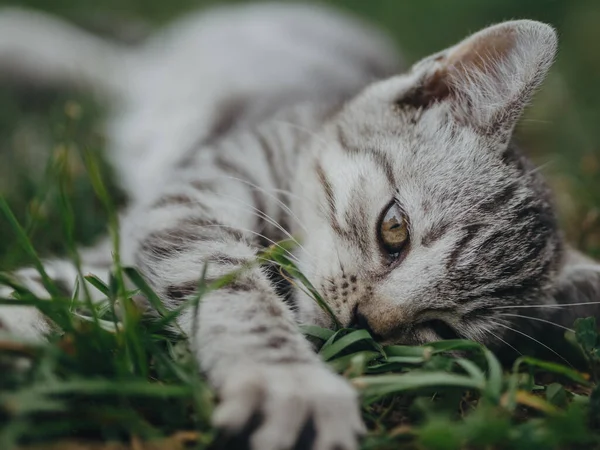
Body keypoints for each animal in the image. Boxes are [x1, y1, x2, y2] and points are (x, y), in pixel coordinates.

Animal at [1, 3, 600, 450]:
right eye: (395, 230)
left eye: (441, 330)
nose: (366, 323)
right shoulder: (198, 193)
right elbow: (237, 292)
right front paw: (291, 384)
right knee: (103, 62)